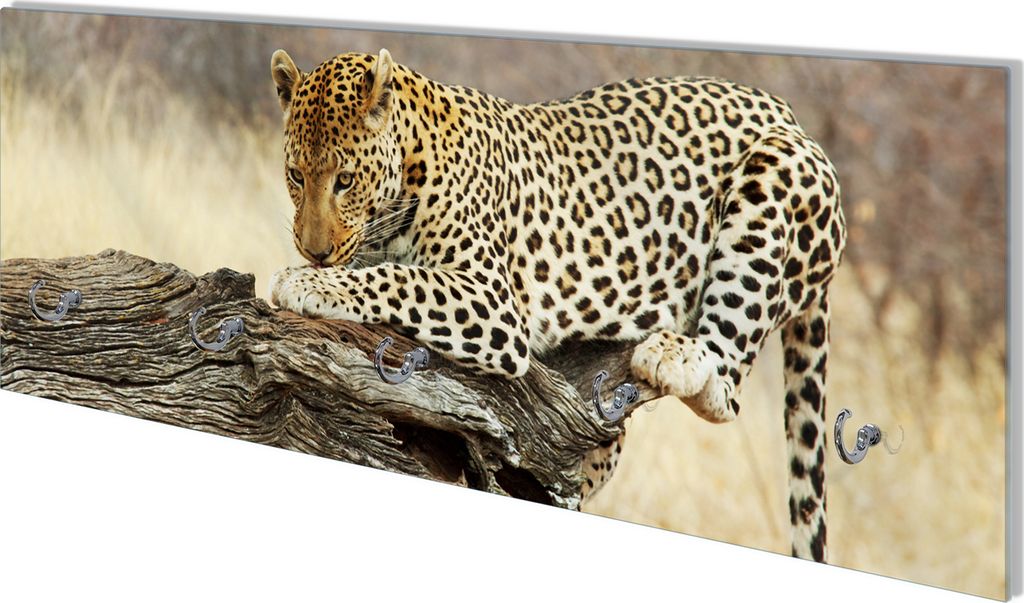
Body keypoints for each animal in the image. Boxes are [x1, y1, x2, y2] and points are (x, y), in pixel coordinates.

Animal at [268, 47, 846, 563]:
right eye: (295, 176)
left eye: (344, 180)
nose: (313, 251)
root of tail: (788, 113)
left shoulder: (491, 300)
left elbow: (397, 278)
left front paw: (305, 282)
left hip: (773, 180)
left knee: (726, 388)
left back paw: (673, 355)